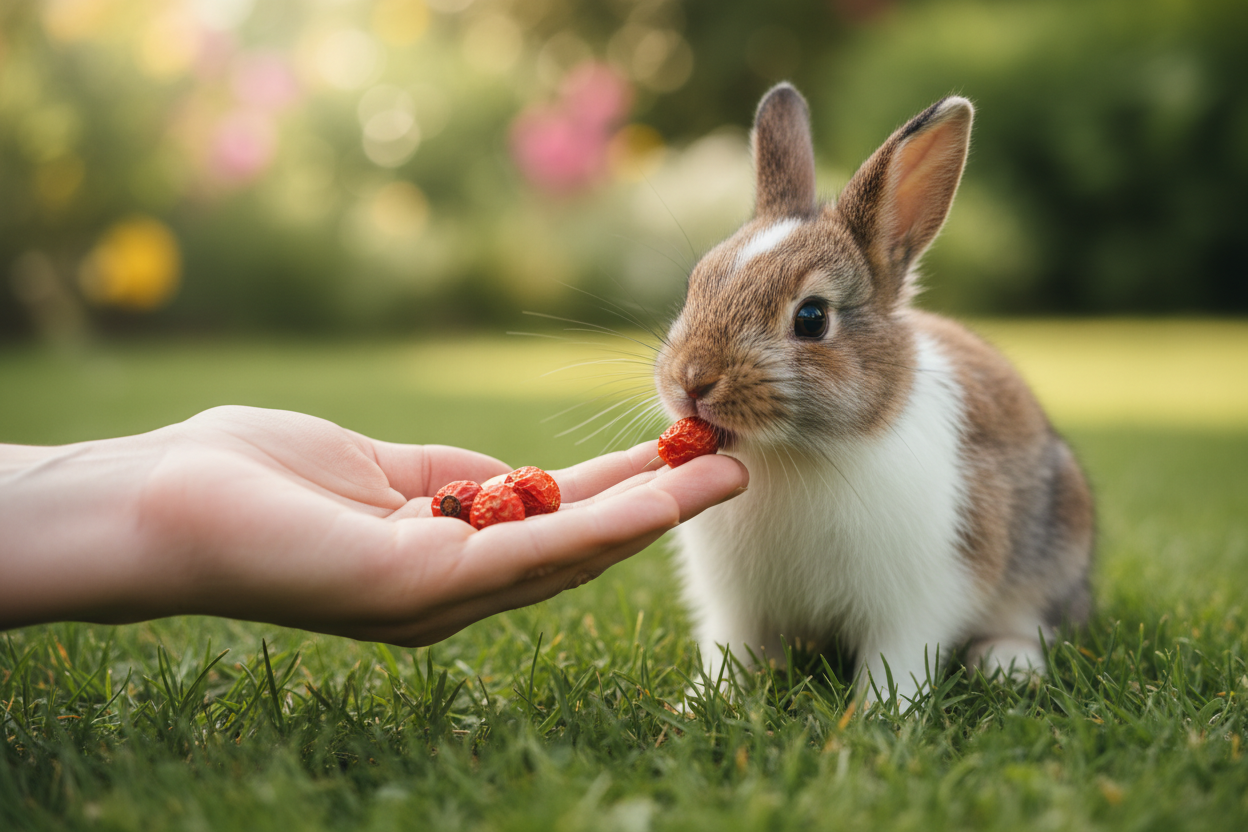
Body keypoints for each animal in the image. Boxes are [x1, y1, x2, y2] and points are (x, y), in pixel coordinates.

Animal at [653, 84, 1094, 701]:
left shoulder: (914, 603)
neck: (790, 454)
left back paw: (1007, 664)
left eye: (812, 318)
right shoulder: (736, 607)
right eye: (696, 284)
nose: (691, 379)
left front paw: (879, 714)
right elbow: (730, 653)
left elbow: (897, 662)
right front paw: (698, 704)